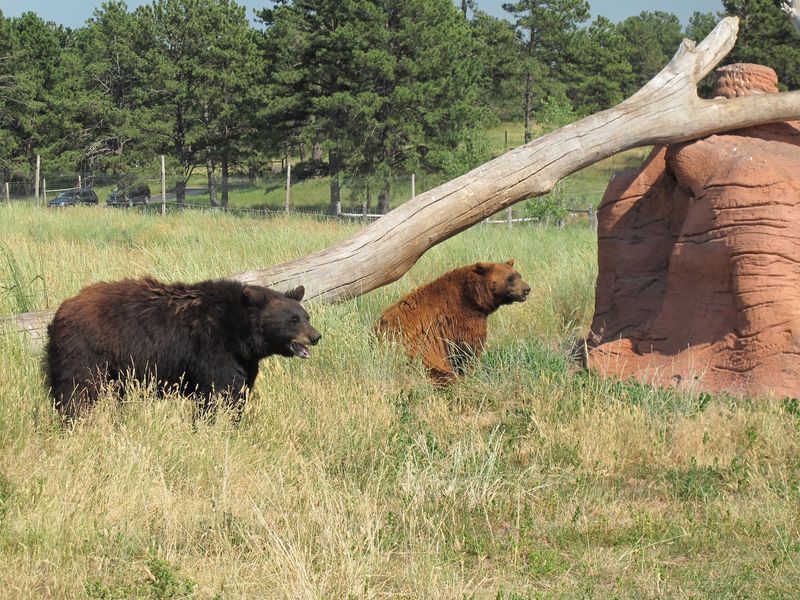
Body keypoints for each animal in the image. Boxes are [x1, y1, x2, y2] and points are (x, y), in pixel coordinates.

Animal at [45, 276, 321, 420]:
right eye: (293, 320)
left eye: (305, 316)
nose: (316, 336)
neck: (238, 332)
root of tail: (61, 311)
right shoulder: (211, 350)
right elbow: (217, 392)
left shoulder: (243, 361)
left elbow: (238, 392)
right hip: (84, 354)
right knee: (77, 392)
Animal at [375, 260, 530, 384]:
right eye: (510, 278)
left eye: (519, 275)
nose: (527, 289)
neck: (472, 296)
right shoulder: (461, 318)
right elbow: (467, 349)